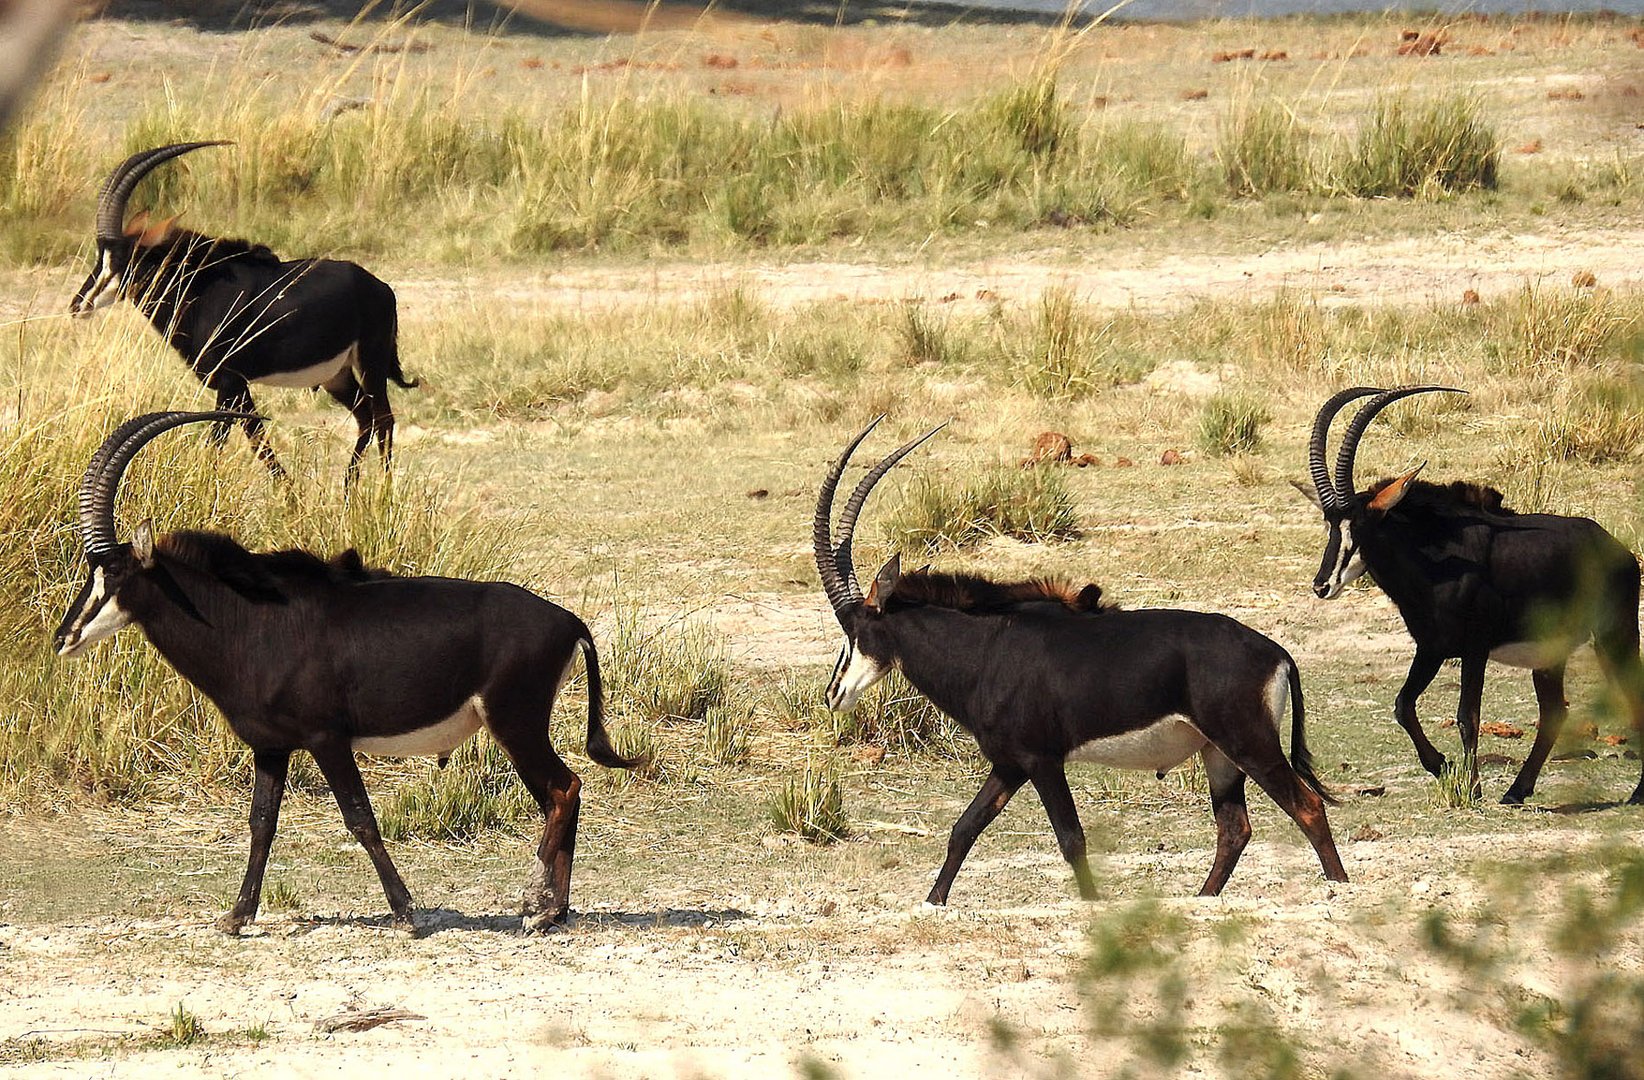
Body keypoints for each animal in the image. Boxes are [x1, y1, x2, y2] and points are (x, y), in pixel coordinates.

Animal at [56, 409, 634, 933]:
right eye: (91, 573)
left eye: (114, 574)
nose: (64, 637)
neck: (250, 620)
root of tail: (569, 620)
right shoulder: (272, 747)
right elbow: (261, 823)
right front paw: (236, 917)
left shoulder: (326, 738)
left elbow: (360, 817)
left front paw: (407, 914)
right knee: (562, 793)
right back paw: (554, 911)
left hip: (515, 722)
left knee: (563, 789)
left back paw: (535, 907)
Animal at [69, 142, 417, 483]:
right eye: (100, 255)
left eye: (122, 261)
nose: (78, 305)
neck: (199, 290)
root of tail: (380, 288)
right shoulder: (237, 387)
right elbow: (256, 438)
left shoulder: (230, 383)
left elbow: (228, 442)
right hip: (337, 375)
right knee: (366, 418)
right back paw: (348, 489)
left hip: (370, 363)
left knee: (384, 419)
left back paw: (383, 491)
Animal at [812, 420, 1348, 900]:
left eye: (855, 630)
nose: (834, 694)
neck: (987, 649)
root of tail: (1276, 652)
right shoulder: (1008, 764)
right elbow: (964, 828)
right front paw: (933, 902)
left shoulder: (1041, 760)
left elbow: (1071, 840)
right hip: (1218, 755)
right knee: (1235, 828)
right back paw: (1203, 899)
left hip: (1249, 743)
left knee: (1308, 807)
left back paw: (1339, 889)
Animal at [1295, 384, 1644, 798]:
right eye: (1330, 525)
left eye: (1360, 527)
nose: (1322, 585)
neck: (1435, 564)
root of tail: (1620, 551)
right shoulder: (1432, 648)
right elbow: (1403, 705)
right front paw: (1441, 766)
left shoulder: (1475, 649)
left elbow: (1467, 716)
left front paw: (1472, 788)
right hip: (1551, 653)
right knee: (1554, 711)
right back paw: (1516, 791)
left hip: (1615, 636)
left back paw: (1635, 793)